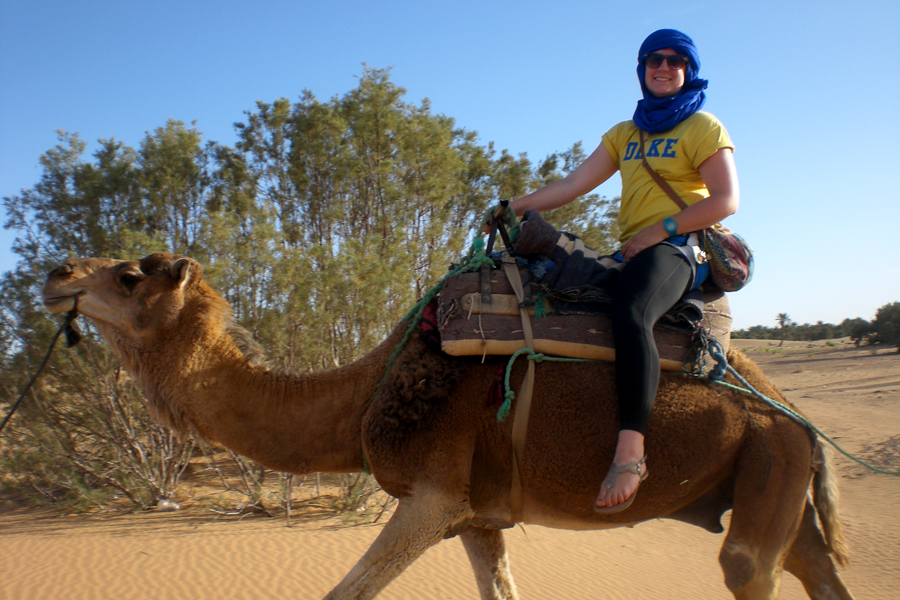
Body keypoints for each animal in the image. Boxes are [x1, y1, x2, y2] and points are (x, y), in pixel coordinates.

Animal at [41, 252, 855, 600]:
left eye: (128, 276)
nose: (54, 275)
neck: (366, 396)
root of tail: (802, 421)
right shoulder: (477, 516)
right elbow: (502, 592)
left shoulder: (431, 497)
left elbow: (345, 594)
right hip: (769, 478)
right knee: (815, 568)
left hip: (767, 462)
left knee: (749, 570)